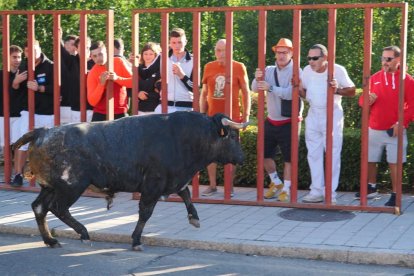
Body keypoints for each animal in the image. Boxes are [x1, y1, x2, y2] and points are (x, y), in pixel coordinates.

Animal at [12, 111, 246, 251]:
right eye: (232, 137)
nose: (241, 158)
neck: (182, 137)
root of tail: (42, 132)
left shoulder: (173, 180)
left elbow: (186, 194)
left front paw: (194, 218)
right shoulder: (153, 185)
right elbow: (145, 213)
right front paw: (136, 240)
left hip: (50, 187)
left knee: (39, 207)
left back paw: (50, 240)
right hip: (71, 186)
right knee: (58, 208)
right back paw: (84, 233)